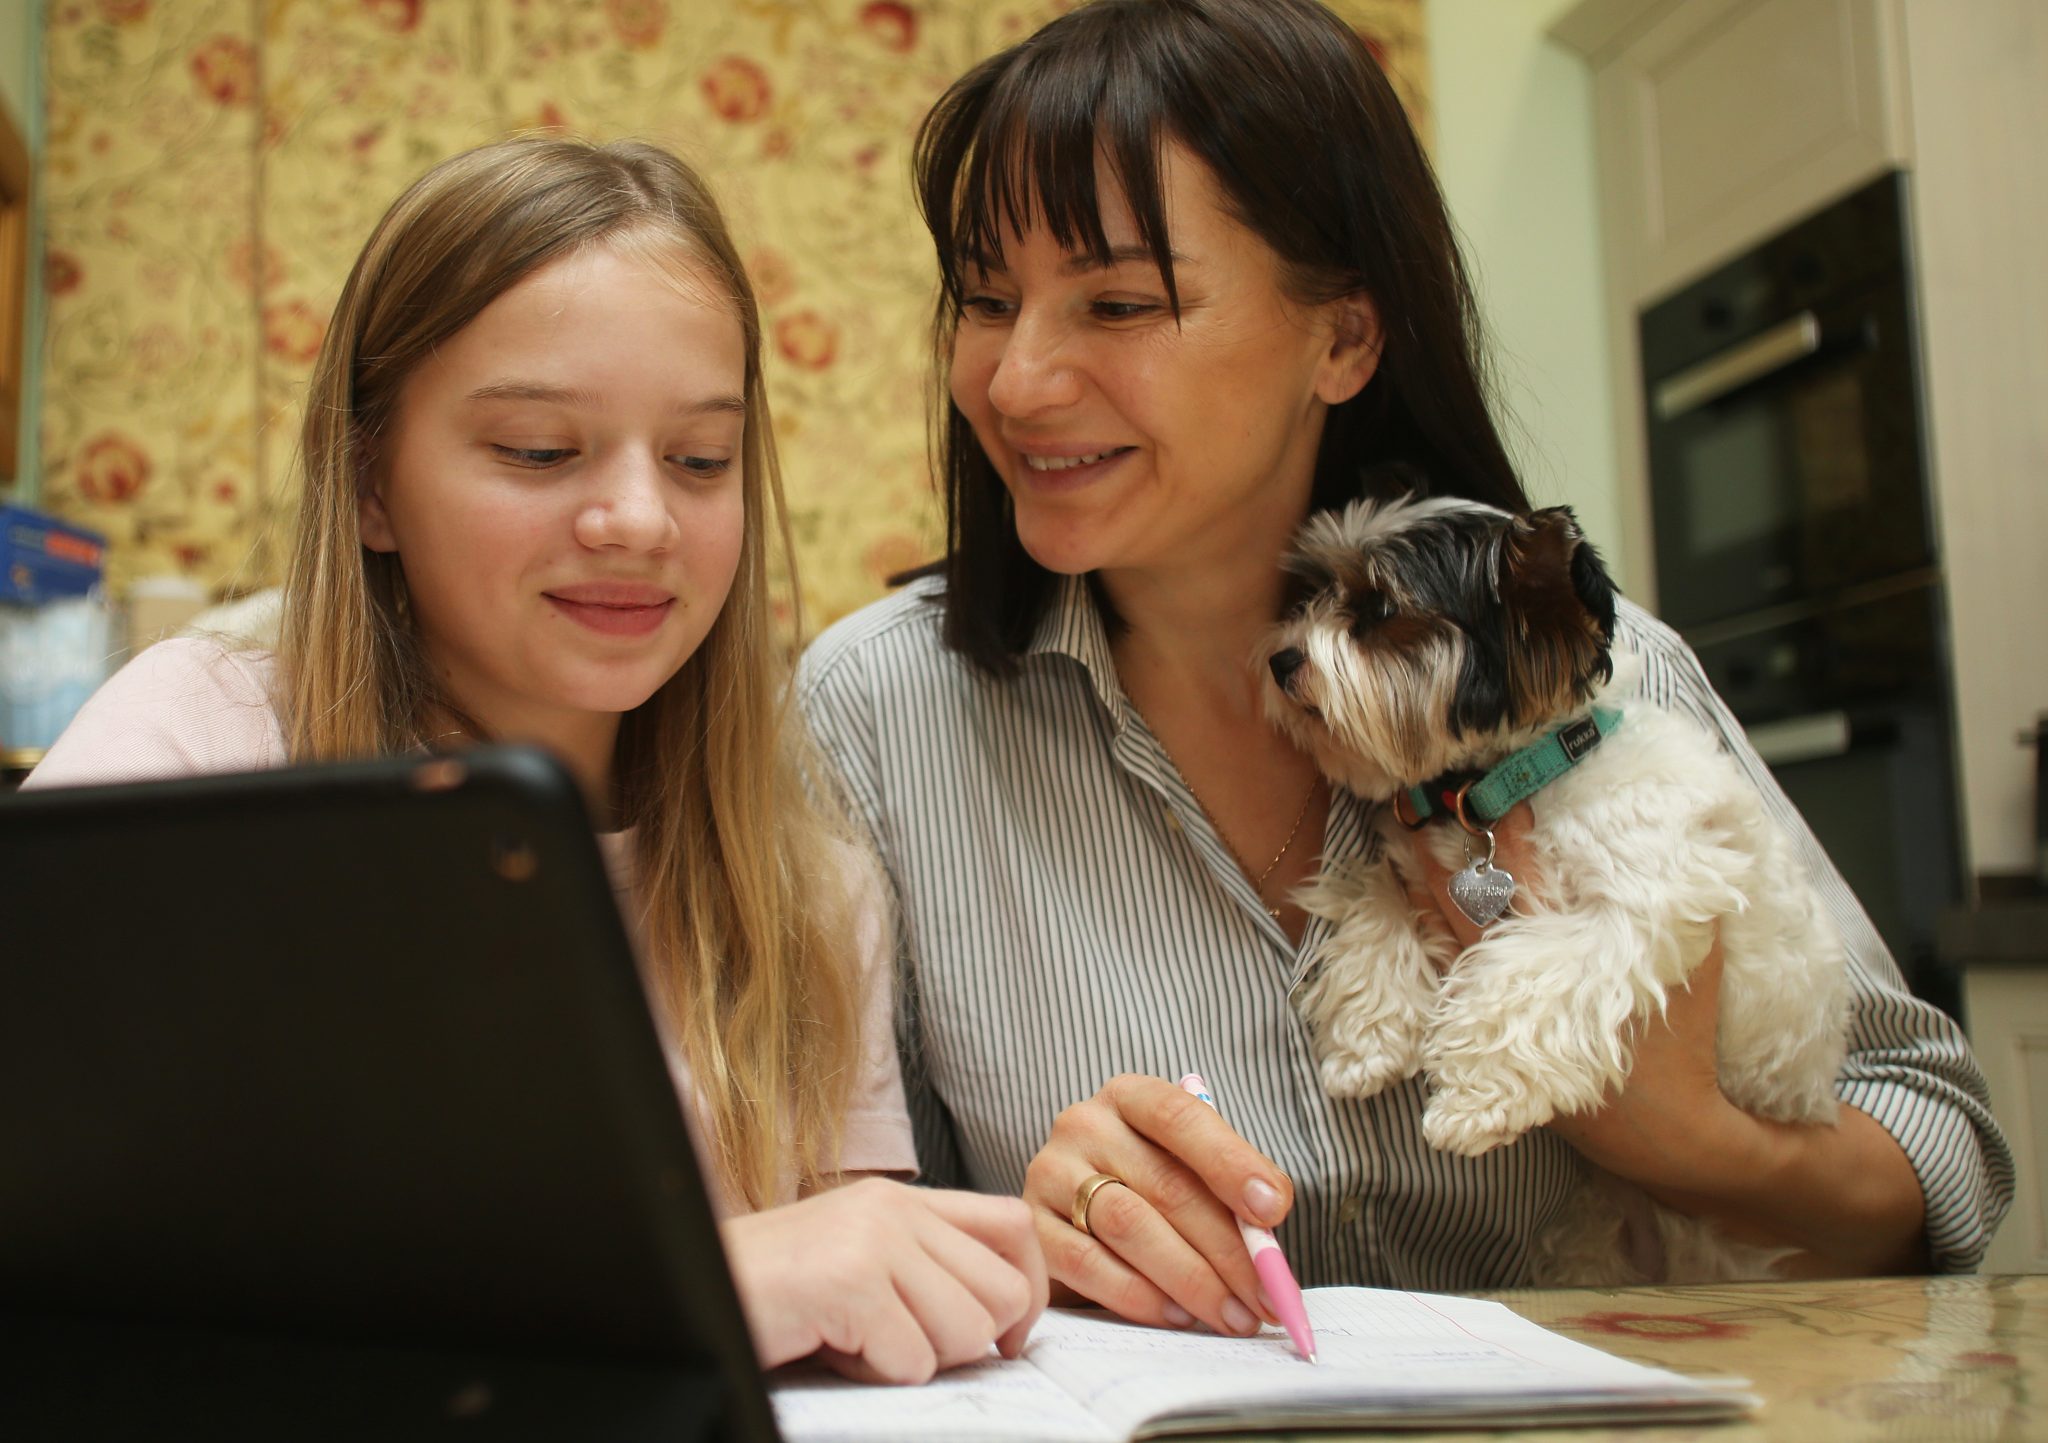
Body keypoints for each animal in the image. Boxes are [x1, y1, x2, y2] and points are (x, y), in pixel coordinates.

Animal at [1261, 490, 1850, 1285]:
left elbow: (1521, 978)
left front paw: (1469, 1099)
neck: (1502, 782)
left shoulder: (1631, 908)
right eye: (1316, 592)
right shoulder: (1415, 870)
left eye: (1380, 610)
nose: (1280, 657)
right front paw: (1365, 1039)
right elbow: (1375, 915)